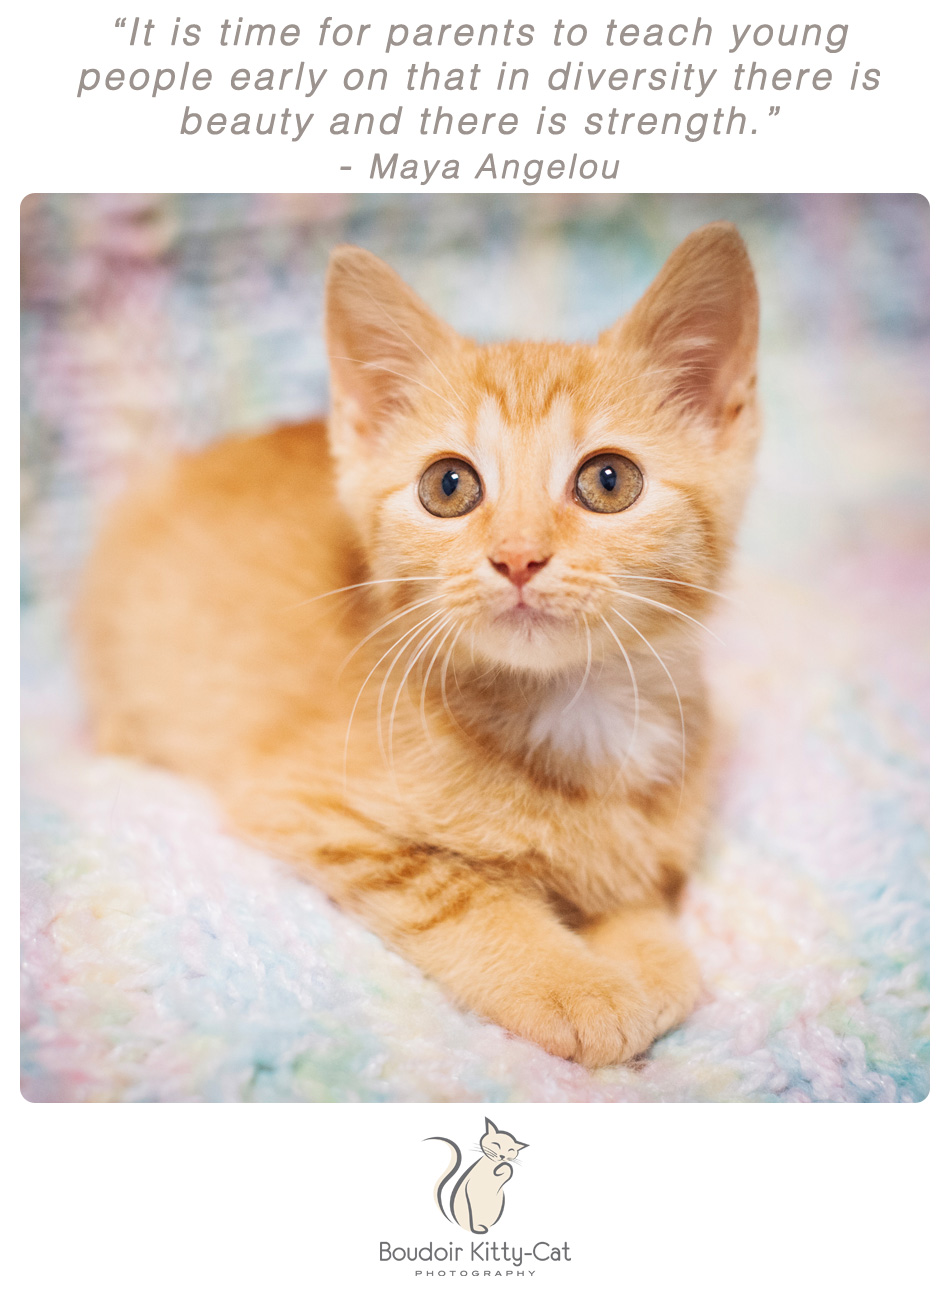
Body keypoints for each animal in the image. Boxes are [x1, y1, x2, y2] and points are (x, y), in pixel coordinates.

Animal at [76, 221, 758, 1068]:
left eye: (609, 481)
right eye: (449, 486)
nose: (518, 557)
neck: (574, 709)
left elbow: (632, 882)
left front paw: (649, 952)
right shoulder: (311, 806)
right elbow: (459, 892)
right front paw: (574, 984)